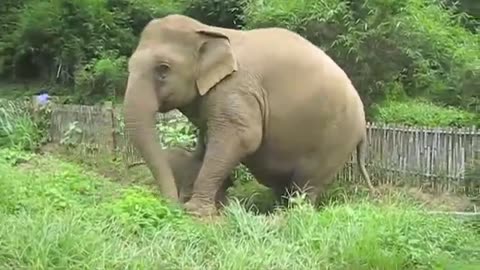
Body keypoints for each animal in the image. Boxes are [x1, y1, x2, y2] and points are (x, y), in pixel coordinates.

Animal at [123, 14, 376, 217]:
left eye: (163, 69)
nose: (172, 205)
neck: (207, 31)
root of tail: (363, 125)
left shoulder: (237, 91)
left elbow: (242, 138)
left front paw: (195, 211)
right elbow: (206, 143)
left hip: (335, 141)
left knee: (307, 183)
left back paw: (288, 215)